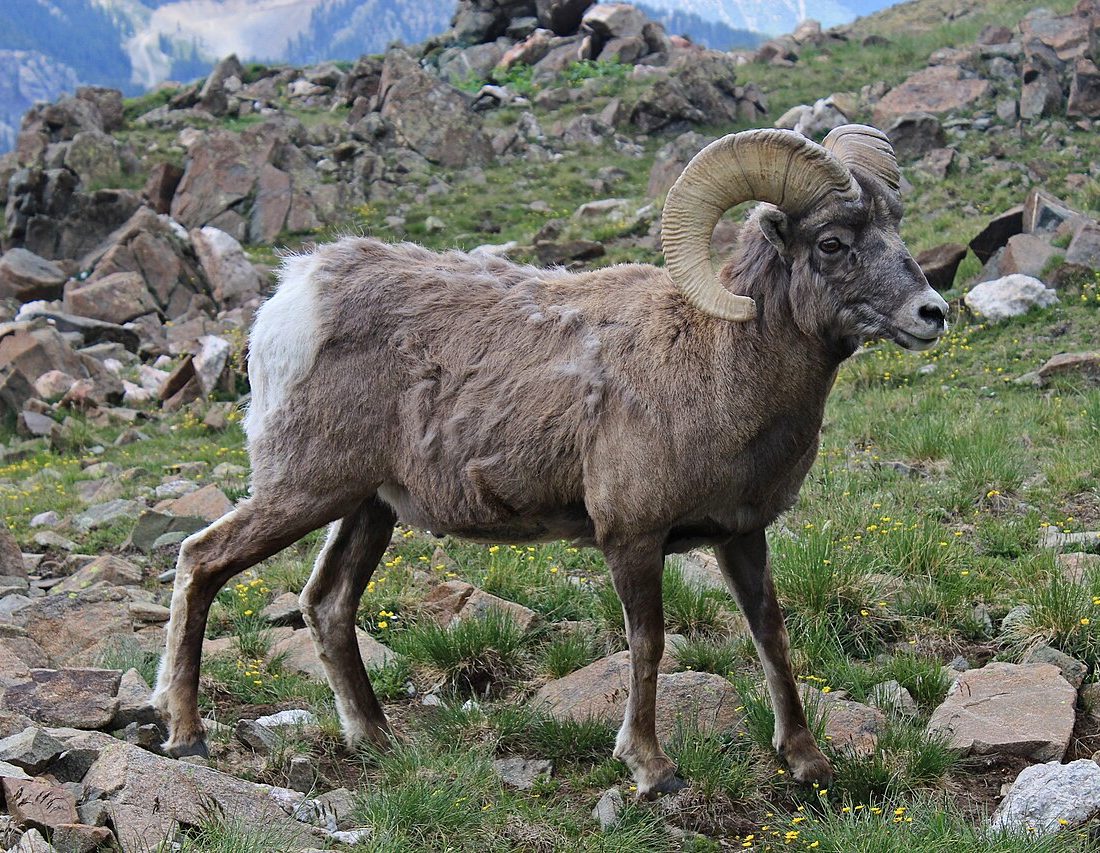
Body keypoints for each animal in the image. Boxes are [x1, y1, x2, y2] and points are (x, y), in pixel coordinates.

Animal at [153, 124, 948, 797]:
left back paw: (376, 740)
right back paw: (187, 736)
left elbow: (771, 636)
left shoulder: (741, 534)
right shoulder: (631, 536)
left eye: (894, 227)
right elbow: (648, 643)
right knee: (202, 560)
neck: (718, 364)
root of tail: (294, 298)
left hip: (368, 509)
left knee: (327, 602)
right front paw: (653, 770)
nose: (932, 313)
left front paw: (808, 762)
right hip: (302, 491)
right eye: (833, 243)